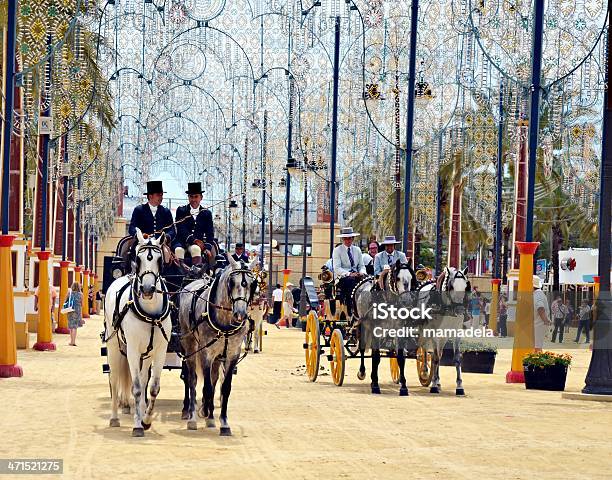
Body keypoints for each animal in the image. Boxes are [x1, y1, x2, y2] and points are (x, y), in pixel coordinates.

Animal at [103, 231, 170, 436]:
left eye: (159, 259)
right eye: (138, 259)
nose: (147, 290)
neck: (150, 313)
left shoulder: (160, 350)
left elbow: (152, 387)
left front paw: (146, 420)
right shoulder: (132, 350)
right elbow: (137, 388)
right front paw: (138, 426)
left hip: (145, 354)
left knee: (142, 377)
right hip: (114, 346)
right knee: (114, 378)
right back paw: (114, 417)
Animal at [178, 255, 256, 436]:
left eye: (252, 283)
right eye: (232, 282)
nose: (240, 314)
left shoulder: (231, 355)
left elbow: (224, 388)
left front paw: (223, 422)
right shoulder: (206, 354)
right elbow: (206, 387)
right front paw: (205, 414)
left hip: (218, 357)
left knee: (213, 380)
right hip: (190, 347)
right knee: (191, 379)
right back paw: (192, 415)